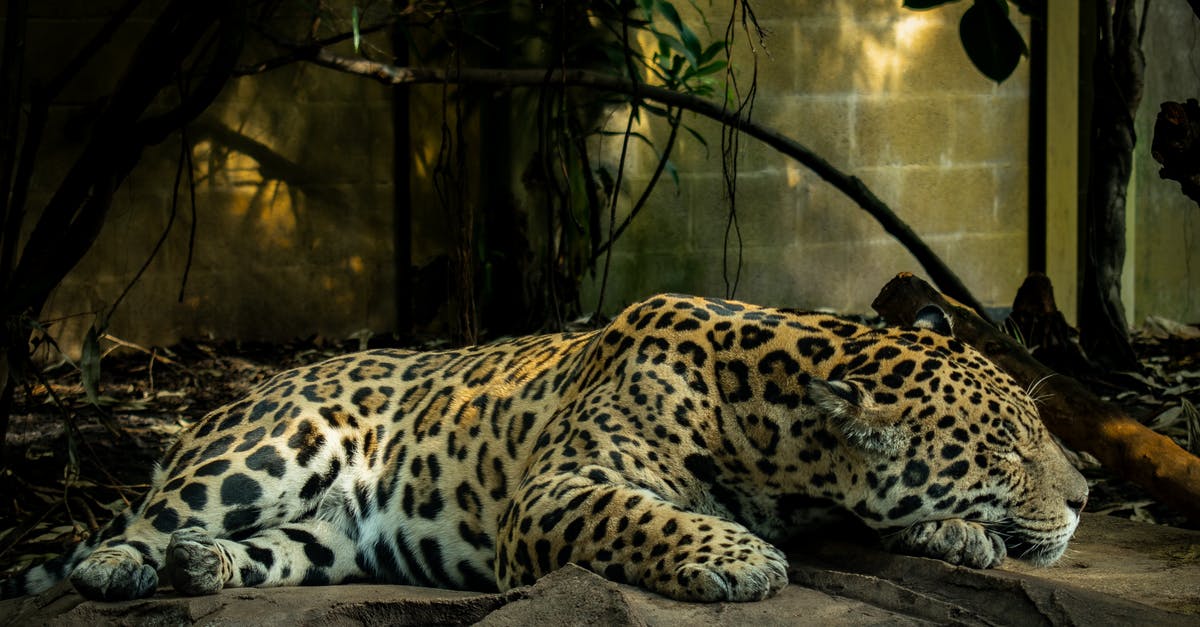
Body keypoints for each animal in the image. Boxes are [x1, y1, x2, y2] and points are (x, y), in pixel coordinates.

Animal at [0, 293, 1089, 600]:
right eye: (1006, 449)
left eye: (1037, 434)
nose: (1086, 496)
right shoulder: (563, 487)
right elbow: (642, 513)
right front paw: (738, 558)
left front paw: (961, 540)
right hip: (264, 450)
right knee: (139, 521)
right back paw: (120, 567)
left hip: (329, 539)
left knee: (271, 549)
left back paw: (204, 568)